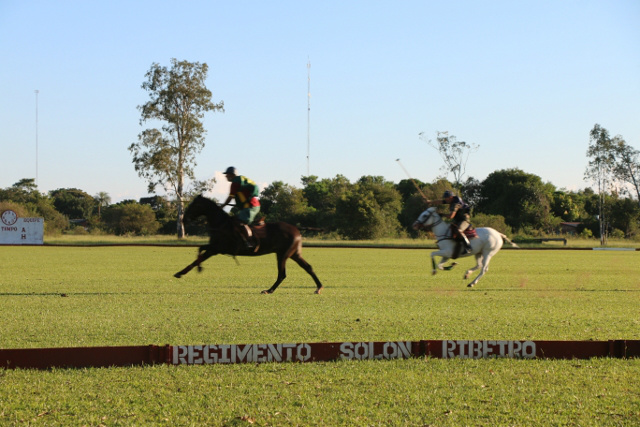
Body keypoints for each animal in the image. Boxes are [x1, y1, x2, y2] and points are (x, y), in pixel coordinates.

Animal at [172, 196, 322, 294]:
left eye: (195, 205)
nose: (183, 219)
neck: (220, 224)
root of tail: (296, 229)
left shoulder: (217, 248)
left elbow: (199, 256)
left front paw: (183, 272)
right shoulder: (214, 246)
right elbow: (200, 249)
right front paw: (194, 269)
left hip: (283, 254)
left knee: (282, 274)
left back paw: (269, 290)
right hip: (294, 254)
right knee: (308, 267)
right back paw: (318, 287)